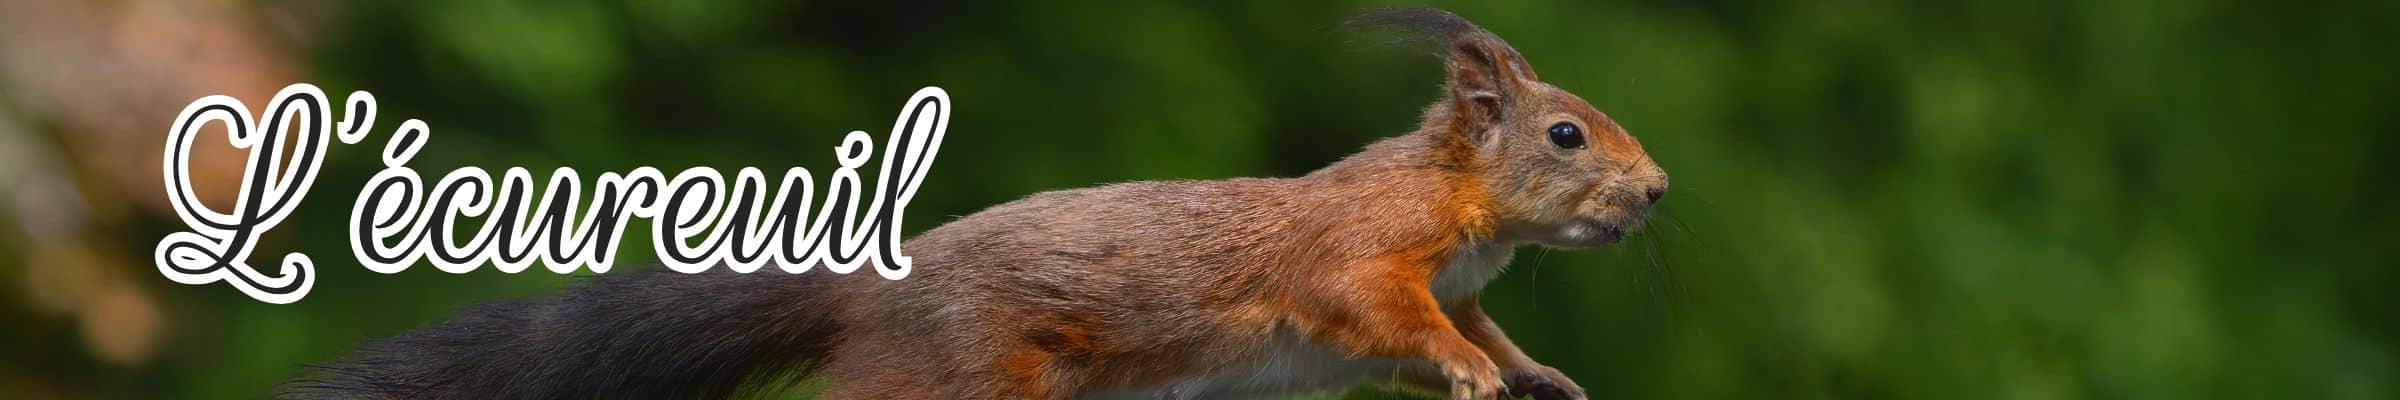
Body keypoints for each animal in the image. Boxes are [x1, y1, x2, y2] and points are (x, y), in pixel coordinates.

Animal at [283, 7, 1666, 400]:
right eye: (1565, 132)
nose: (1655, 192)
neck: (1454, 207)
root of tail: (871, 283)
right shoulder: (1361, 257)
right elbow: (1386, 318)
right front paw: (1475, 375)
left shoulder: (1455, 285)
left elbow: (1479, 330)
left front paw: (1531, 374)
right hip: (959, 374)